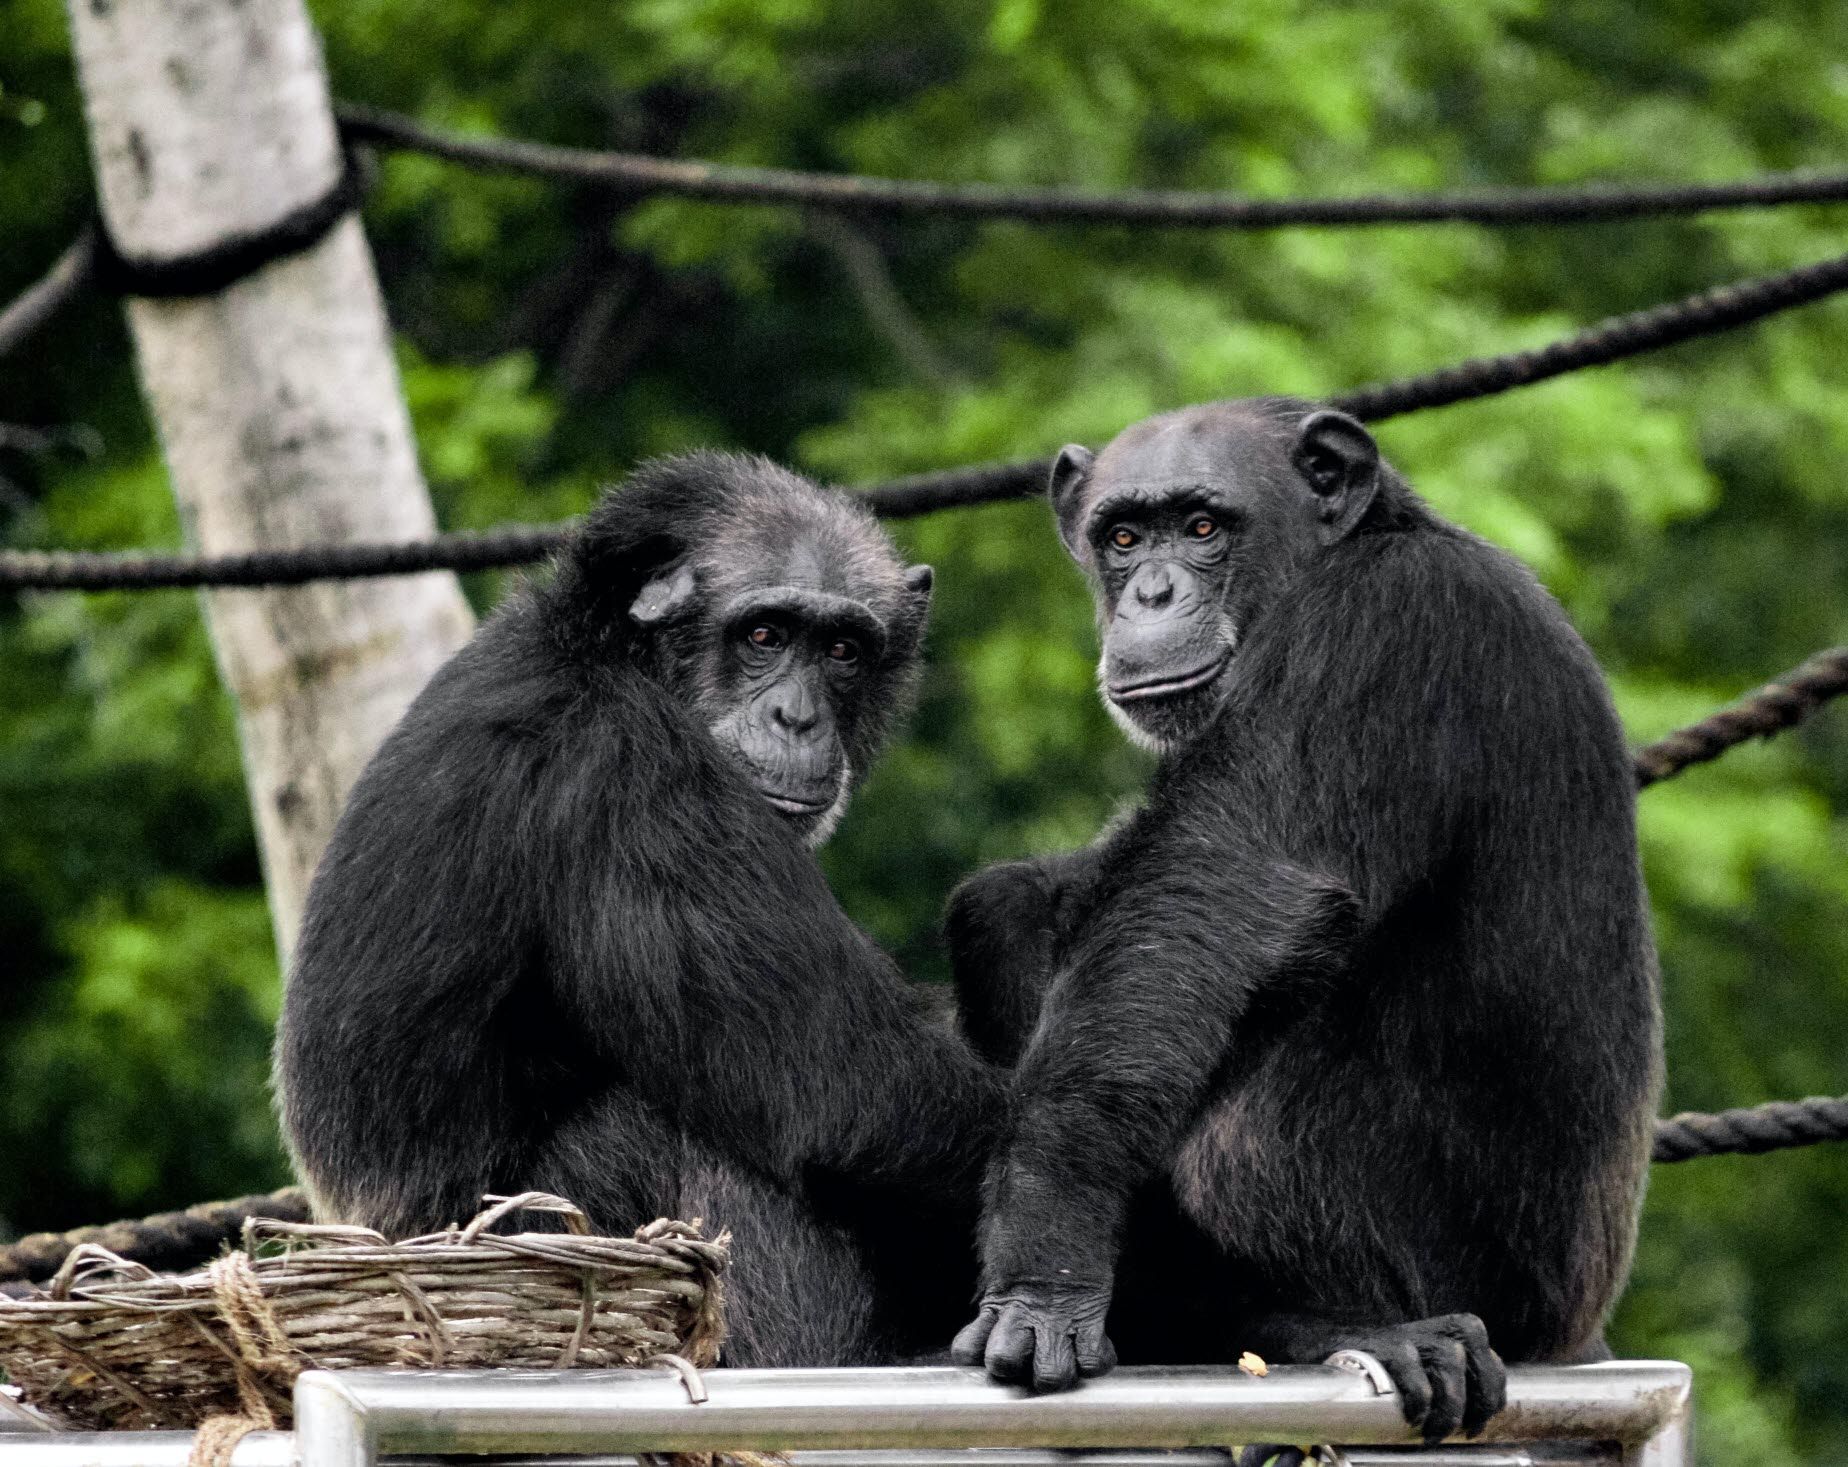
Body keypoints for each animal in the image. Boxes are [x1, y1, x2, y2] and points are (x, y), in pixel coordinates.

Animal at [275, 450, 1005, 1367]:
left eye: (842, 648)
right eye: (763, 635)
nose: (797, 715)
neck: (614, 654)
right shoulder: (635, 780)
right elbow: (851, 1084)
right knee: (677, 1124)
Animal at [953, 397, 1663, 1441]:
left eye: (1203, 526)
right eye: (1123, 538)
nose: (1152, 593)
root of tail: (1577, 1335)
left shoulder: (1386, 627)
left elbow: (1223, 890)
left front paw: (1047, 1252)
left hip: (1467, 1270)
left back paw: (1331, 1323)